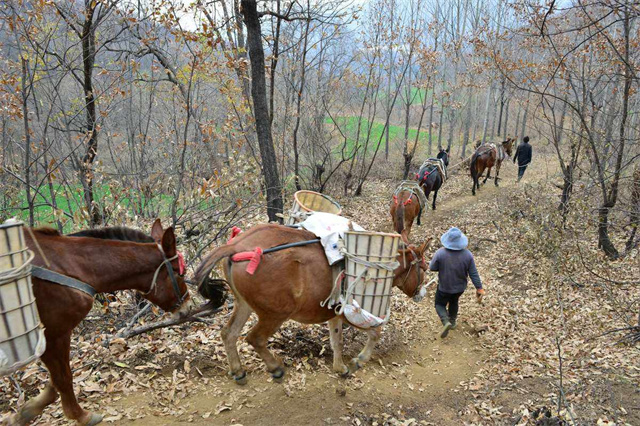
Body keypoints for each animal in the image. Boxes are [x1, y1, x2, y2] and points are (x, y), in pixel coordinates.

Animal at [10, 220, 190, 426]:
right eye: (180, 274)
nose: (188, 305)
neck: (71, 265)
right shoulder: (54, 334)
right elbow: (63, 378)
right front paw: (80, 415)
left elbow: (55, 380)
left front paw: (26, 411)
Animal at [192, 225, 428, 384]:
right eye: (424, 268)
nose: (421, 294)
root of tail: (235, 246)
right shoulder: (354, 312)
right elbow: (375, 333)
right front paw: (359, 360)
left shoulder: (335, 314)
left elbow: (336, 341)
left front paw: (340, 367)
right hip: (275, 314)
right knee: (255, 338)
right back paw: (275, 368)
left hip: (244, 305)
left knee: (229, 333)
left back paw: (238, 370)